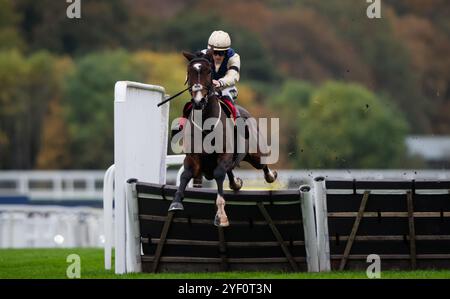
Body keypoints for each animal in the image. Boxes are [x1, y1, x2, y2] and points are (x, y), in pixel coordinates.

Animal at [167, 49, 276, 227]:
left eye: (208, 71)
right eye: (189, 72)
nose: (198, 101)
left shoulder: (223, 155)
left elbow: (219, 174)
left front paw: (221, 215)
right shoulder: (193, 158)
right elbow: (185, 175)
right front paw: (176, 202)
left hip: (255, 154)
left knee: (262, 165)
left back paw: (270, 176)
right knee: (231, 172)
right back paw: (236, 183)